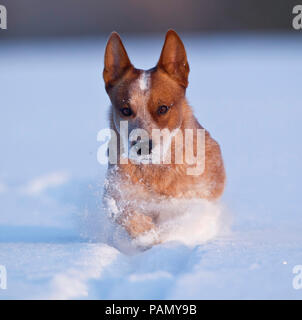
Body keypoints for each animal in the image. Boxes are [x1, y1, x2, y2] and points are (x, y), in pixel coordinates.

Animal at [102, 30, 225, 241]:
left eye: (163, 108)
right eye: (126, 110)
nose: (143, 146)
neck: (155, 171)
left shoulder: (194, 198)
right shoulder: (118, 191)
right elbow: (126, 213)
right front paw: (145, 233)